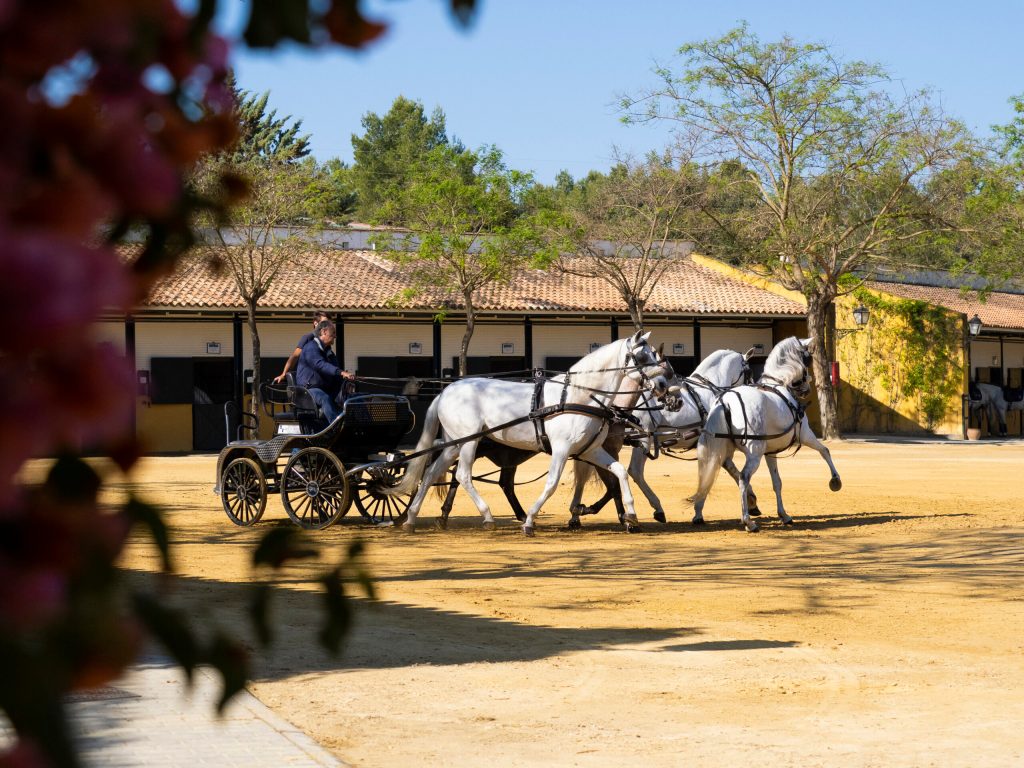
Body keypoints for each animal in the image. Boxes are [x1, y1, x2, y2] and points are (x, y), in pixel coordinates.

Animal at [381, 330, 670, 535]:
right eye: (643, 357)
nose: (663, 386)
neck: (579, 397)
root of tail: (446, 391)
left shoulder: (591, 450)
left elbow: (620, 473)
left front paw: (631, 515)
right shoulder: (562, 449)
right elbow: (552, 483)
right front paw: (530, 520)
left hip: (455, 443)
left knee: (431, 473)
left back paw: (411, 518)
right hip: (469, 443)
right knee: (462, 475)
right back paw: (487, 517)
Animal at [689, 337, 842, 533]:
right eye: (807, 358)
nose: (806, 389)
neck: (778, 384)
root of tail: (725, 402)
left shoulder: (771, 452)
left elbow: (777, 482)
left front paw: (784, 515)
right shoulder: (805, 434)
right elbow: (825, 451)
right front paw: (835, 480)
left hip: (721, 450)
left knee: (708, 474)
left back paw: (699, 513)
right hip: (755, 453)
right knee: (743, 478)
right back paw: (748, 521)